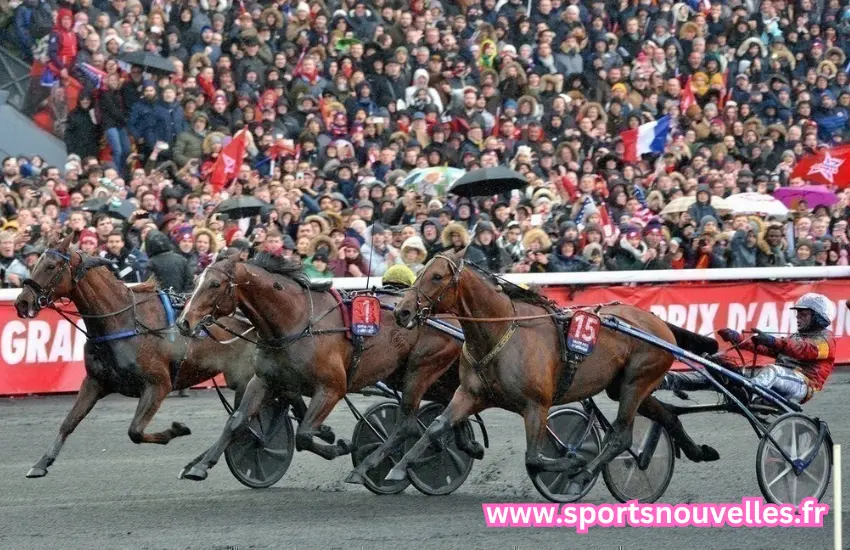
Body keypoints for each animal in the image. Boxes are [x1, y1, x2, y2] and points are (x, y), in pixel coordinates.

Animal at [14, 236, 256, 478]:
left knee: (239, 418)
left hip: (247, 378)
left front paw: (176, 430)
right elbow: (68, 422)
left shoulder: (158, 384)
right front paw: (41, 463)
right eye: (35, 263)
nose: (22, 302)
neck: (124, 322)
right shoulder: (95, 381)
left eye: (50, 266)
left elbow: (135, 431)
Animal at [174, 252, 484, 486]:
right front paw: (199, 466)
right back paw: (467, 445)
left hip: (420, 371)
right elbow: (236, 421)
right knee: (452, 404)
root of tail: (446, 314)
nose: (184, 322)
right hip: (415, 374)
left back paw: (367, 468)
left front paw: (338, 445)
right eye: (196, 280)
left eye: (214, 284)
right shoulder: (266, 381)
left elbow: (303, 435)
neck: (297, 321)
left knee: (407, 424)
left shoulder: (331, 388)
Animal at [390, 250, 716, 496]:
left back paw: (585, 474)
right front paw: (398, 467)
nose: (402, 312)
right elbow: (436, 427)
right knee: (667, 415)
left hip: (637, 381)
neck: (498, 333)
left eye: (436, 276)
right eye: (418, 273)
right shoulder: (470, 394)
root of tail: (658, 322)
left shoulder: (536, 405)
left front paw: (573, 462)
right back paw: (698, 451)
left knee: (621, 436)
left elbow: (534, 459)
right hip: (624, 386)